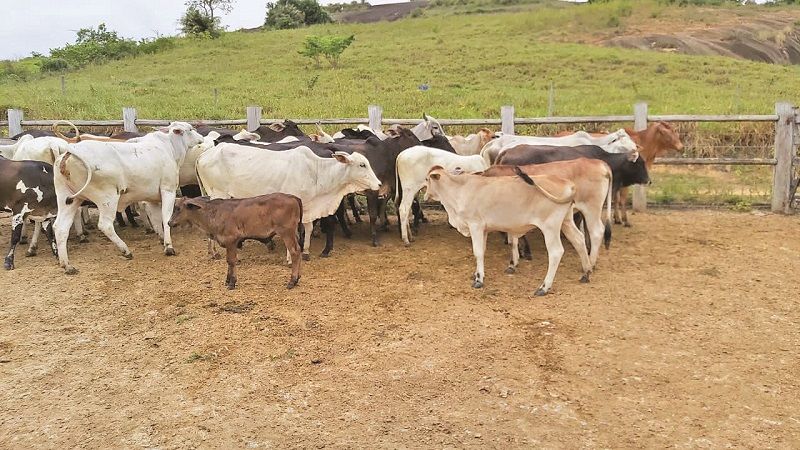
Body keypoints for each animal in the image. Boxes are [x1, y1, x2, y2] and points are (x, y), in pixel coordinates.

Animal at [52, 122, 204, 275]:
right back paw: (125, 250)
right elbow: (166, 218)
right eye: (190, 129)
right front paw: (169, 247)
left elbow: (156, 219)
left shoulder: (153, 199)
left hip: (68, 199)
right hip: (107, 199)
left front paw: (161, 239)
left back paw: (67, 265)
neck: (168, 147)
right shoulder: (168, 190)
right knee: (105, 225)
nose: (201, 138)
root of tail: (70, 152)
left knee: (60, 228)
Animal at [168, 194, 303, 290]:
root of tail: (292, 197)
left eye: (178, 208)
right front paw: (227, 280)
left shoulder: (231, 240)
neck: (214, 213)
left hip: (287, 232)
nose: (169, 222)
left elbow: (231, 261)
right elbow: (228, 262)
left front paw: (232, 282)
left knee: (295, 252)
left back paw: (292, 281)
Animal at [195, 144, 381, 261]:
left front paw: (305, 251)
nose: (379, 184)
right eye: (362, 165)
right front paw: (290, 257)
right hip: (218, 193)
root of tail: (204, 154)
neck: (315, 172)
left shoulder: (307, 207)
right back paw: (215, 252)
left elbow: (309, 228)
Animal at [424, 166, 591, 296]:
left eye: (427, 179)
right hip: (567, 221)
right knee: (579, 240)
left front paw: (479, 280)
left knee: (556, 252)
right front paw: (477, 273)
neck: (459, 190)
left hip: (550, 227)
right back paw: (586, 272)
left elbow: (477, 252)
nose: (424, 197)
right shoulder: (484, 229)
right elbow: (482, 251)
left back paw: (544, 287)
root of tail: (568, 183)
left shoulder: (475, 225)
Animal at [480, 159, 613, 268]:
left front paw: (517, 260)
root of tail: (601, 163)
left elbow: (514, 239)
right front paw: (515, 261)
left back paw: (592, 263)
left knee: (597, 232)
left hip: (591, 209)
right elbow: (513, 239)